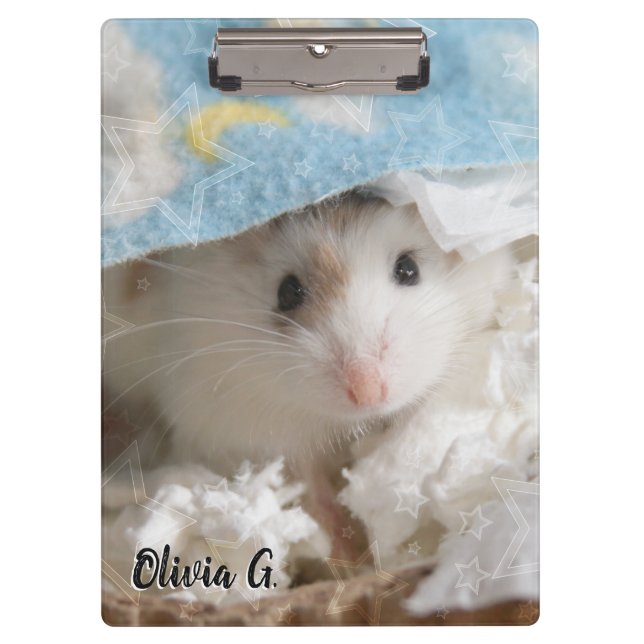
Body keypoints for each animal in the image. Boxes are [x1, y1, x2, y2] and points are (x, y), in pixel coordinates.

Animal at [102, 191, 512, 553]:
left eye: (408, 268)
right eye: (287, 292)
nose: (368, 393)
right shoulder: (248, 429)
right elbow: (308, 485)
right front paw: (345, 548)